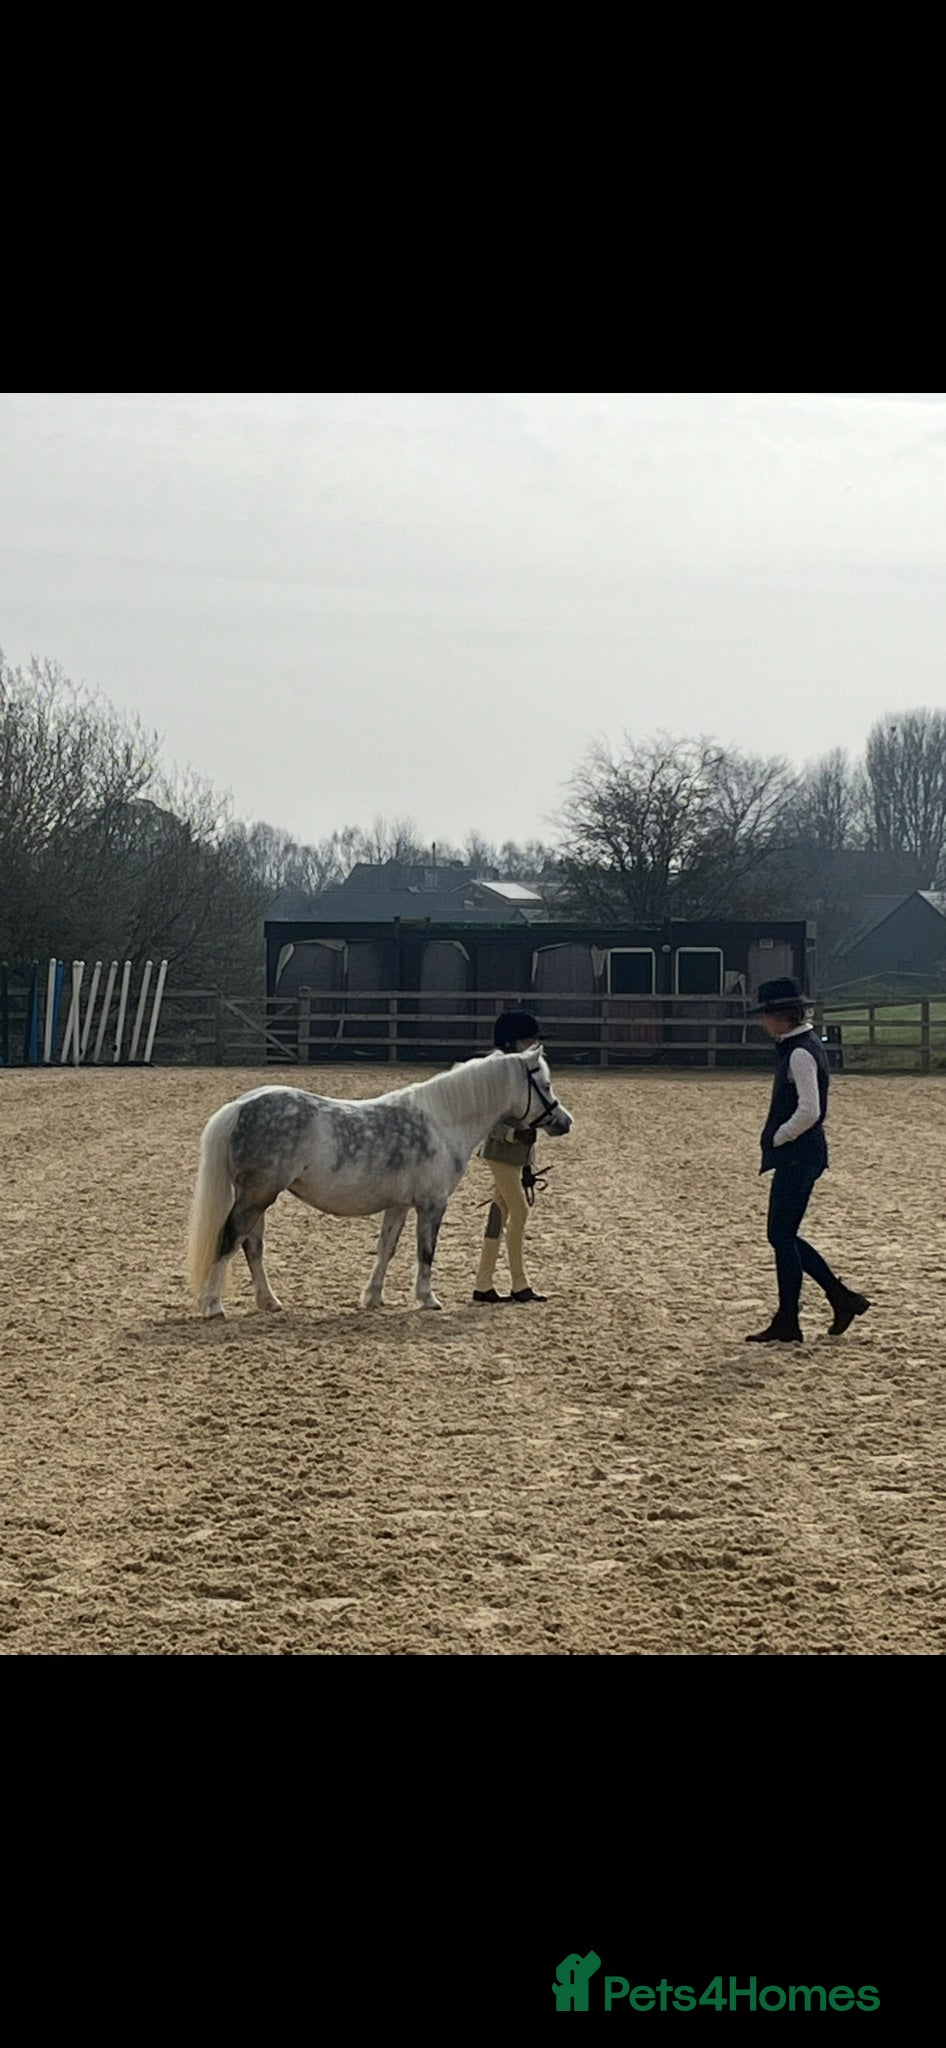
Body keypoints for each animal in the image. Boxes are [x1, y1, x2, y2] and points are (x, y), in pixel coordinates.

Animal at [185, 1044, 573, 1318]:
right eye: (545, 1083)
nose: (565, 1121)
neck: (443, 1120)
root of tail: (240, 1106)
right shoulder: (432, 1205)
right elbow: (425, 1251)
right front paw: (427, 1298)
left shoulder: (399, 1205)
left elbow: (387, 1248)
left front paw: (373, 1297)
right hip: (255, 1197)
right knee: (230, 1239)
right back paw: (213, 1305)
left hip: (260, 1197)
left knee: (252, 1246)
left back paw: (269, 1302)